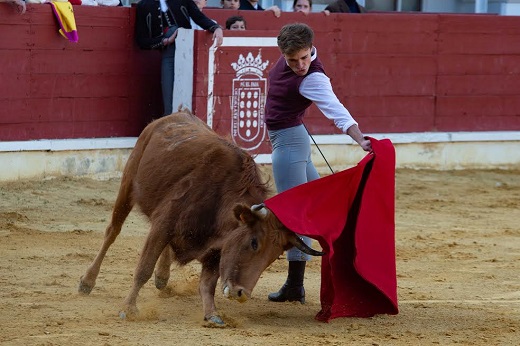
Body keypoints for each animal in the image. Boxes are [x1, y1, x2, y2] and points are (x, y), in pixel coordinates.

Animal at [77, 111, 322, 324]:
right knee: (112, 231)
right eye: (254, 243)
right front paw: (128, 309)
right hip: (128, 183)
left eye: (273, 257)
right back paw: (87, 281)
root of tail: (174, 115)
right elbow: (143, 269)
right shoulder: (162, 225)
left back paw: (162, 276)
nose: (241, 293)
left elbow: (207, 284)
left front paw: (212, 314)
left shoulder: (215, 249)